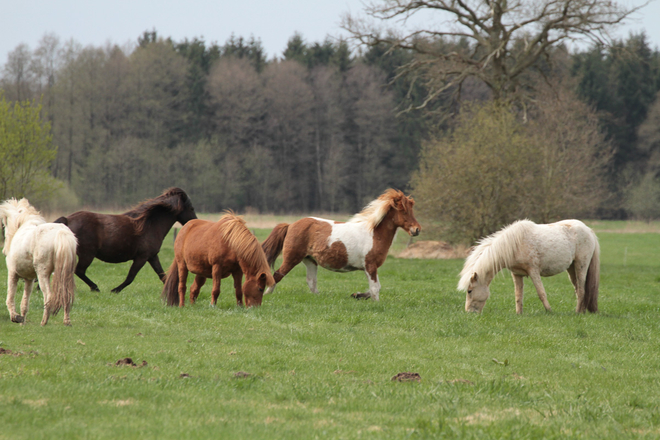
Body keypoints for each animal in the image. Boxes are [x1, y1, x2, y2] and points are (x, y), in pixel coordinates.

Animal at [54, 186, 196, 292]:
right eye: (191, 208)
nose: (194, 222)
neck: (150, 225)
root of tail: (67, 220)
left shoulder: (152, 256)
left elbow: (162, 275)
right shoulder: (142, 257)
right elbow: (131, 277)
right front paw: (114, 290)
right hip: (87, 254)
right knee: (79, 270)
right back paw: (95, 288)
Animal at [260, 187, 420, 300]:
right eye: (404, 211)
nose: (417, 229)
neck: (374, 234)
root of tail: (291, 225)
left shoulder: (369, 268)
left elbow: (375, 288)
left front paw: (357, 295)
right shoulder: (370, 266)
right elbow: (375, 289)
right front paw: (373, 302)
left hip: (310, 260)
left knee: (311, 282)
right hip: (292, 258)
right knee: (277, 276)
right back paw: (265, 296)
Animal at [456, 219, 600, 314]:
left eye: (469, 291)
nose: (469, 312)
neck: (515, 244)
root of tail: (589, 230)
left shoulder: (533, 271)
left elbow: (541, 293)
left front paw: (549, 311)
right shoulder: (517, 274)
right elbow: (518, 296)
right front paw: (519, 314)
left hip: (581, 265)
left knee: (581, 289)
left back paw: (577, 313)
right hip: (571, 268)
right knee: (578, 289)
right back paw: (582, 311)